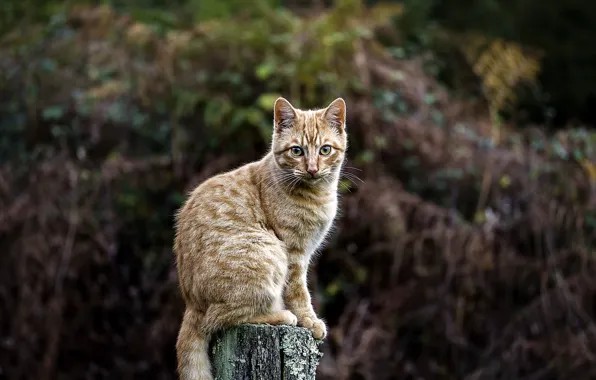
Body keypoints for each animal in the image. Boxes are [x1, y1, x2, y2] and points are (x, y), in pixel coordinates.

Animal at [172, 97, 346, 380]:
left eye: (325, 150)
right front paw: (310, 321)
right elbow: (299, 293)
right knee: (220, 318)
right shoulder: (294, 253)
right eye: (296, 151)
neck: (317, 195)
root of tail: (191, 303)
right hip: (267, 253)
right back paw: (281, 316)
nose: (312, 169)